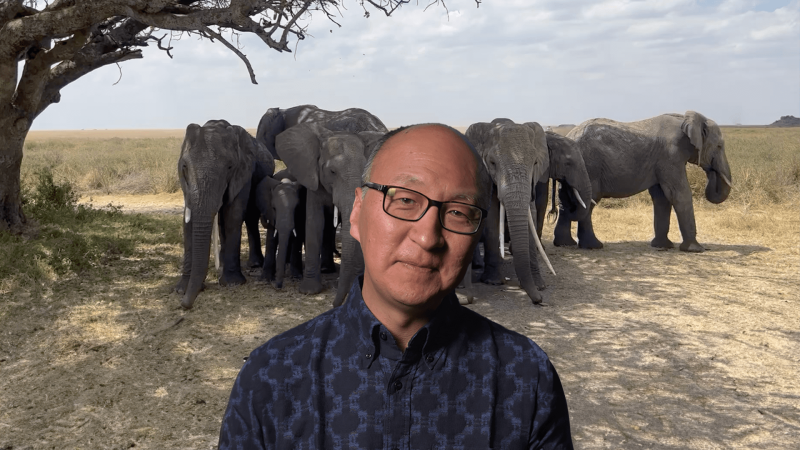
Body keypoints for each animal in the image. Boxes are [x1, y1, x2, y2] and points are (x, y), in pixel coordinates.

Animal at [175, 119, 276, 310]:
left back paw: (254, 264)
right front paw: (181, 288)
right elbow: (187, 220)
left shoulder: (243, 172)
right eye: (184, 166)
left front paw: (232, 283)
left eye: (230, 167)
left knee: (250, 217)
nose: (184, 305)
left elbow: (233, 215)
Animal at [466, 119, 552, 304]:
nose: (539, 299)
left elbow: (531, 217)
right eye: (492, 163)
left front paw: (539, 285)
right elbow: (492, 219)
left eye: (535, 163)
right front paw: (493, 282)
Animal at [560, 108, 736, 250]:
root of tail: (570, 135)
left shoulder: (662, 160)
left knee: (567, 200)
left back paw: (566, 244)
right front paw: (695, 249)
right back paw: (593, 246)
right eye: (719, 146)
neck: (686, 118)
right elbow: (679, 194)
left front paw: (662, 246)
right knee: (589, 202)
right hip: (590, 166)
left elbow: (662, 198)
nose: (711, 170)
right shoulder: (671, 155)